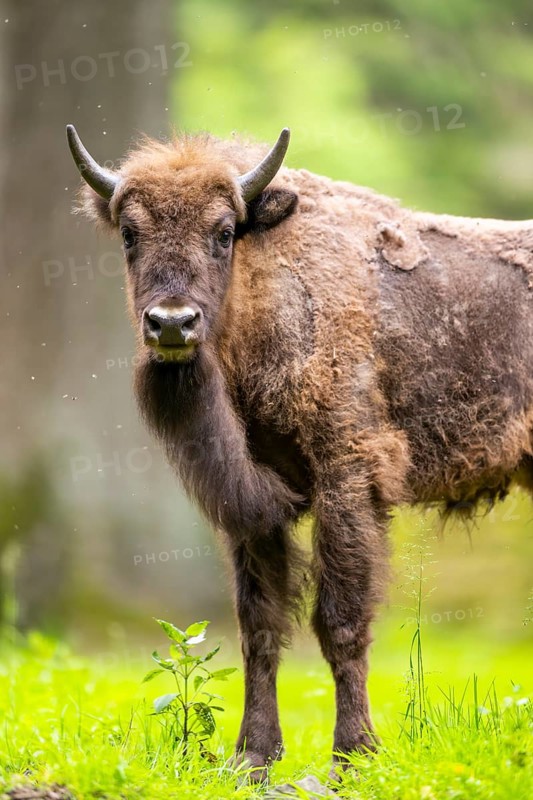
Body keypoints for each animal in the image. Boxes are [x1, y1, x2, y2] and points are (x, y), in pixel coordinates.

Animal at [67, 123, 533, 781]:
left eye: (224, 231)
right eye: (130, 234)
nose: (172, 324)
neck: (268, 288)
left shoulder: (347, 479)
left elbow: (340, 620)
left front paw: (352, 757)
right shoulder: (254, 500)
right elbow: (259, 626)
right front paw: (252, 757)